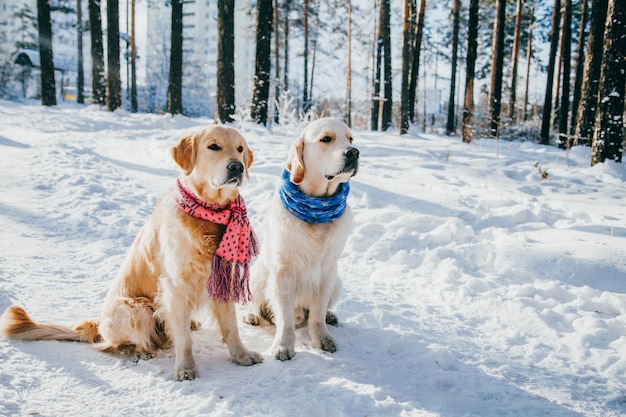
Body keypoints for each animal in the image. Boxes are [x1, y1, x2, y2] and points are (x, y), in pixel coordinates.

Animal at [0, 124, 260, 380]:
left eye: (240, 149)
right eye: (213, 146)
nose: (237, 166)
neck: (209, 212)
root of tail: (97, 324)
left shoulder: (222, 278)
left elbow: (231, 327)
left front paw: (242, 355)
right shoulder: (175, 285)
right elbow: (183, 338)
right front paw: (185, 368)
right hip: (136, 308)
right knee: (122, 343)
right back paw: (142, 351)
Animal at [245, 118, 358, 360]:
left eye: (351, 139)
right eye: (326, 139)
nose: (354, 152)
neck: (317, 207)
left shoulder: (328, 271)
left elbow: (317, 313)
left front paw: (322, 337)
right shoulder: (283, 272)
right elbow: (285, 318)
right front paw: (283, 346)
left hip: (338, 282)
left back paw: (330, 316)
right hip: (257, 274)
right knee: (255, 303)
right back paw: (252, 316)